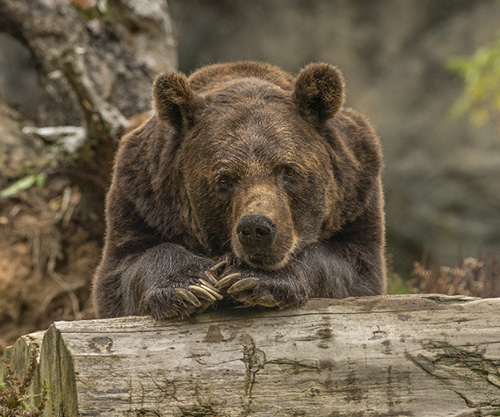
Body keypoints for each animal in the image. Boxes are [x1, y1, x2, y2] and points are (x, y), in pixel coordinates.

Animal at [92, 60, 384, 316]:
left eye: (289, 170)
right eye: (224, 178)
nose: (256, 228)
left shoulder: (356, 194)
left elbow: (352, 267)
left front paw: (253, 278)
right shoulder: (142, 199)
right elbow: (125, 269)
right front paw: (191, 285)